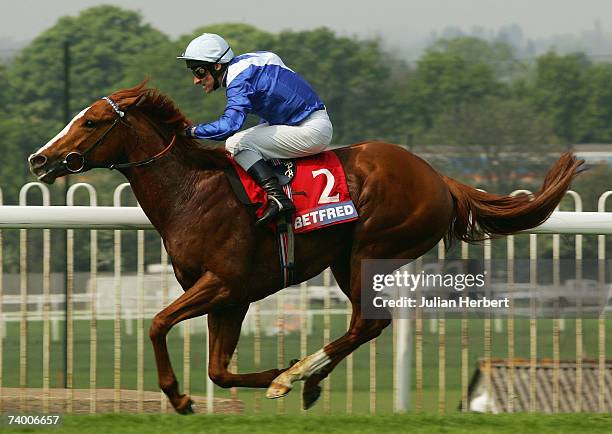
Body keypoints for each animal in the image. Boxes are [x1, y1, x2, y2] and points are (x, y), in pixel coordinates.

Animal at [28, 83, 584, 412]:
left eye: (91, 122)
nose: (39, 159)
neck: (193, 192)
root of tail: (439, 179)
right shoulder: (232, 297)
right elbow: (218, 370)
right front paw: (262, 375)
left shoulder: (222, 283)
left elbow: (159, 323)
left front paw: (182, 397)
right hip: (344, 261)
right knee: (366, 326)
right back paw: (306, 379)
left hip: (368, 250)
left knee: (368, 323)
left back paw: (299, 374)